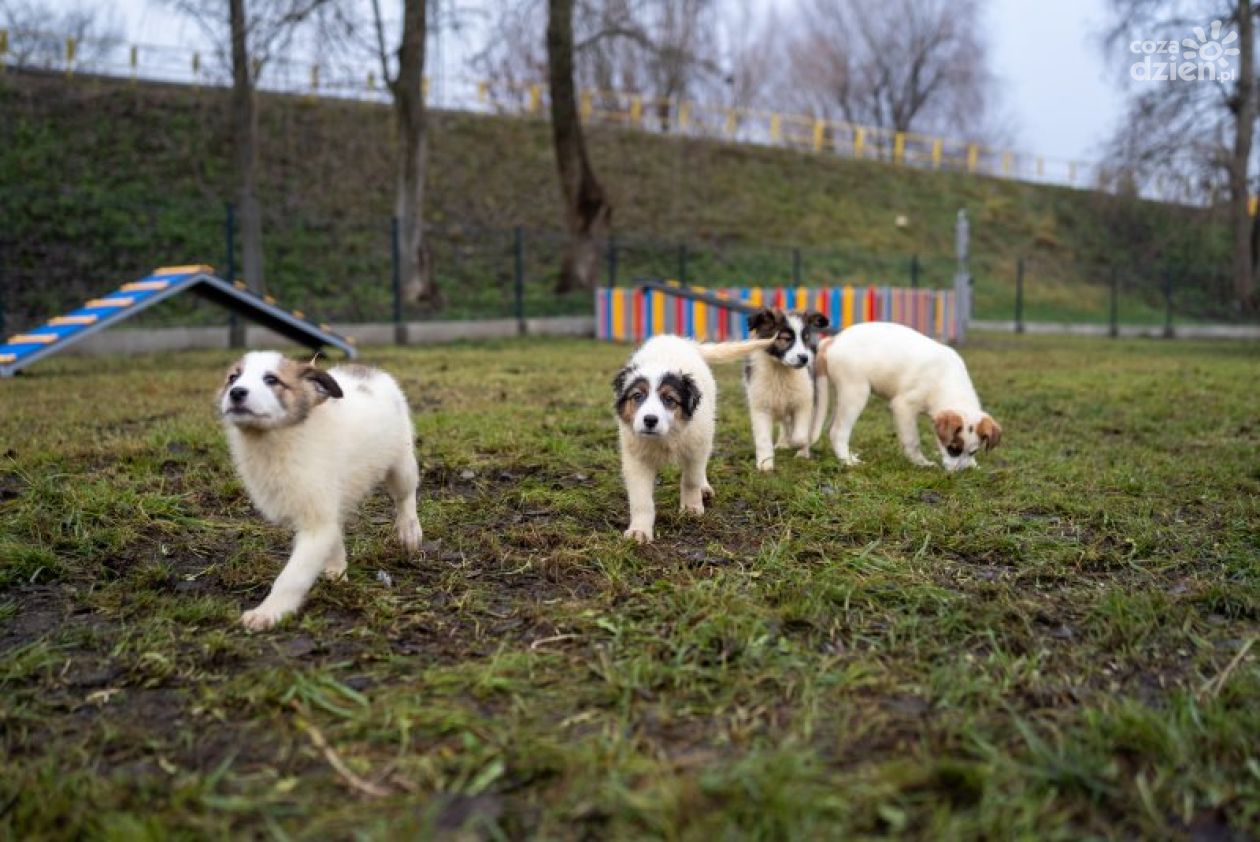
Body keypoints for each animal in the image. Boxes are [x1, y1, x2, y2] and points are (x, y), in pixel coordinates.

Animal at [219, 352, 425, 627]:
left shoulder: (316, 524)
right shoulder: (324, 511)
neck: (276, 438)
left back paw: (409, 531)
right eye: (233, 378)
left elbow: (292, 576)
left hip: (401, 462)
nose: (236, 392)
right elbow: (333, 538)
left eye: (271, 380)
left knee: (405, 496)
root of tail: (369, 370)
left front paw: (269, 612)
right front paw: (337, 572)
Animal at [609, 332, 766, 542]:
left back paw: (704, 489)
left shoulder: (696, 444)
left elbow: (691, 478)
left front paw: (691, 508)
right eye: (637, 396)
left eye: (669, 399)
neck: (667, 436)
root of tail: (678, 340)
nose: (650, 420)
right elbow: (641, 498)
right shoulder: (635, 458)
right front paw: (639, 531)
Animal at [740, 307, 831, 471]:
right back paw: (783, 443)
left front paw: (799, 447)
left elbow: (800, 435)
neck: (780, 370)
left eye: (805, 339)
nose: (805, 358)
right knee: (784, 423)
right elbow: (763, 439)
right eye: (786, 338)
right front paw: (765, 463)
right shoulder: (760, 406)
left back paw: (800, 452)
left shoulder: (804, 402)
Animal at [806, 320, 1002, 471]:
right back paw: (847, 462)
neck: (948, 381)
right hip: (856, 392)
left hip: (844, 396)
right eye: (953, 449)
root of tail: (833, 340)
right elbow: (912, 440)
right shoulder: (904, 406)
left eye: (973, 451)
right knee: (837, 431)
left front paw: (973, 465)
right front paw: (921, 463)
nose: (960, 473)